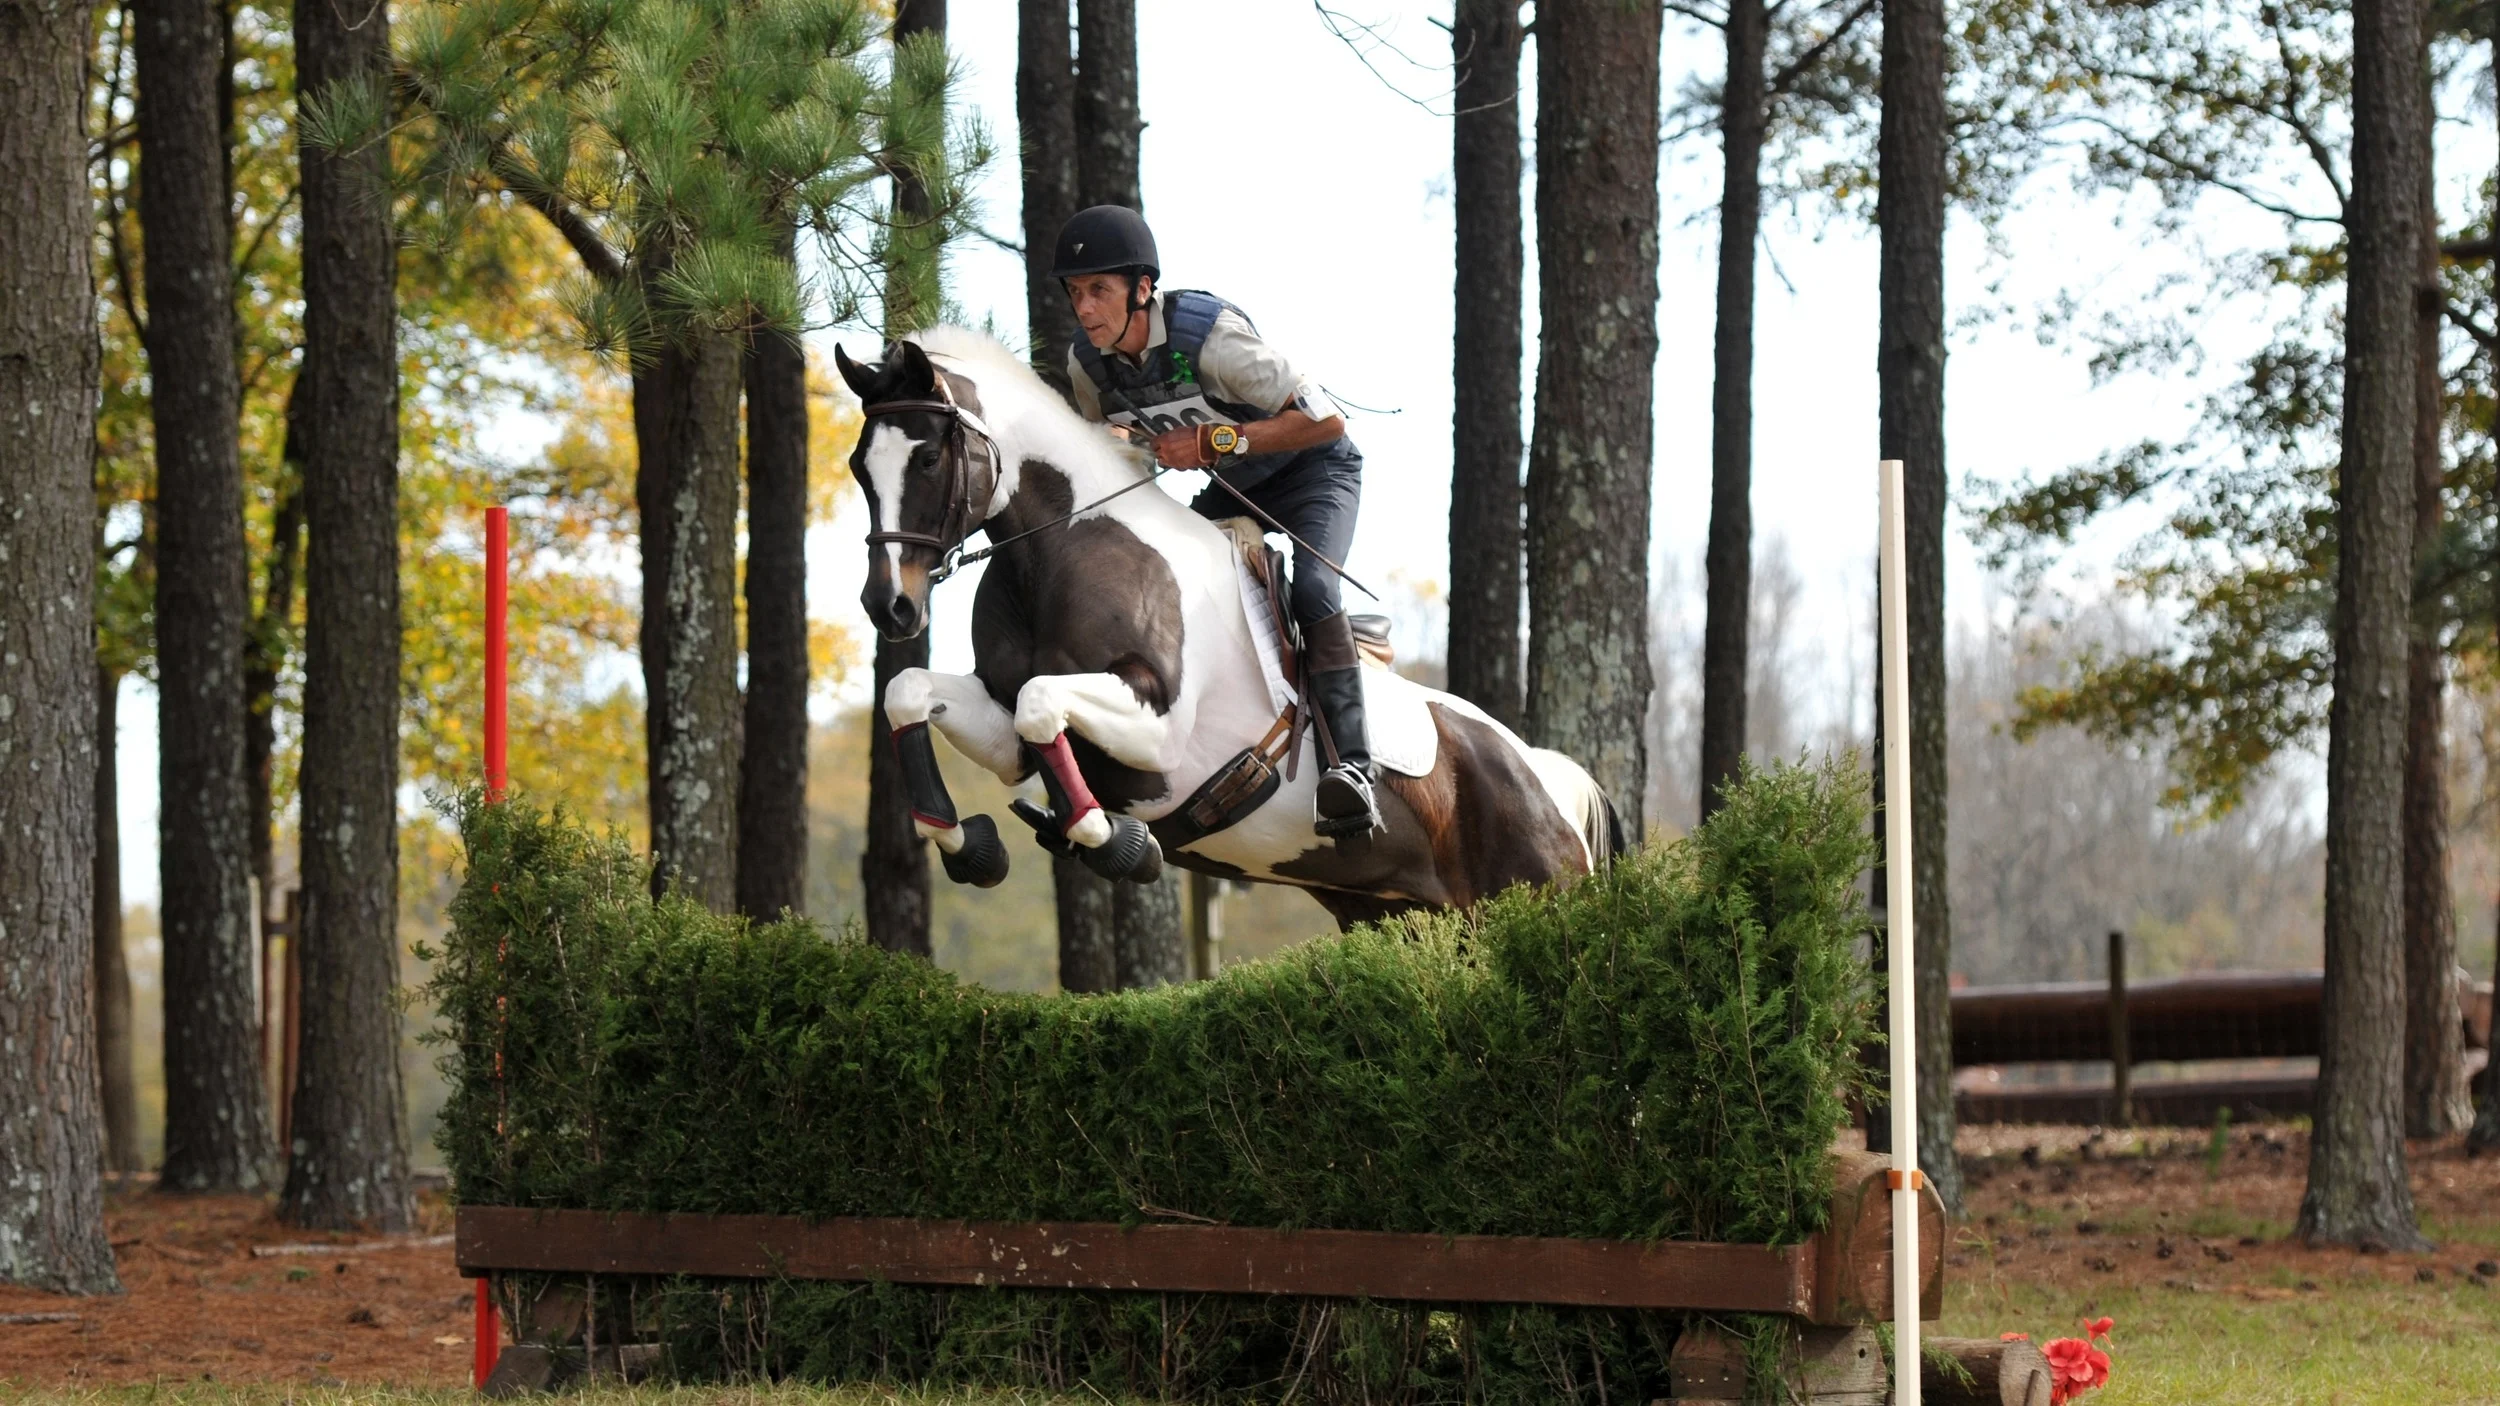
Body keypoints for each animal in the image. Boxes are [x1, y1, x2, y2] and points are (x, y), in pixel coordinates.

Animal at [836, 327, 1622, 931]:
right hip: (1395, 917)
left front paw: (1116, 843)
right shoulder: (1006, 737)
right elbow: (913, 694)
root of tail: (1548, 774)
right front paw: (967, 843)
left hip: (1530, 893)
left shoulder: (1159, 736)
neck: (1059, 547)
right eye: (857, 467)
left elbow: (1041, 702)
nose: (889, 606)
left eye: (929, 457)